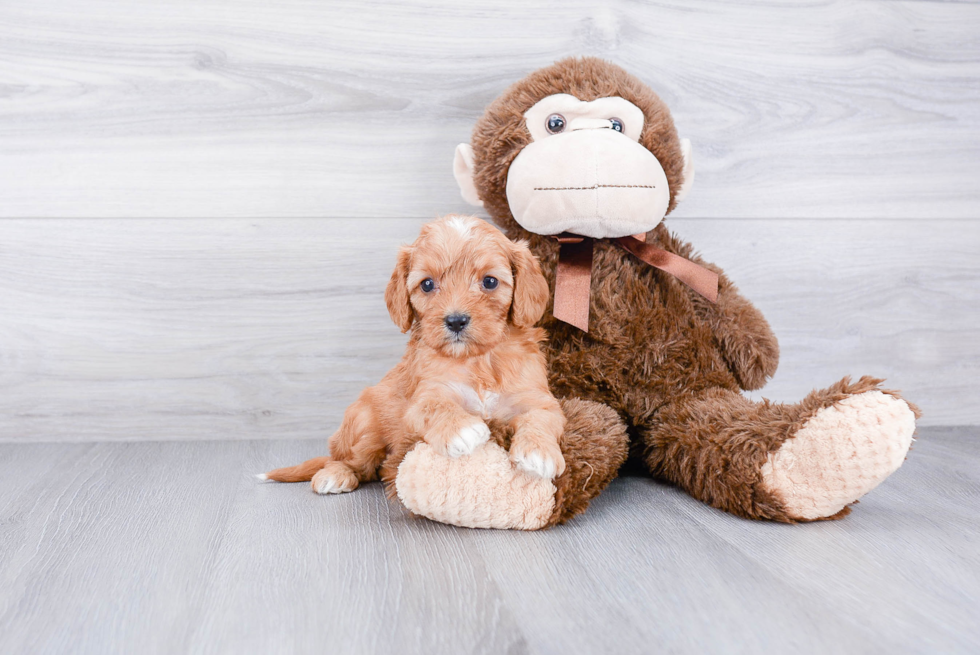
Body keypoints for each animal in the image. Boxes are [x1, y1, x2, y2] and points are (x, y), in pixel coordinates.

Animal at [260, 214, 568, 492]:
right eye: (427, 284)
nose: (456, 321)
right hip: (363, 423)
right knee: (349, 460)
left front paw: (539, 453)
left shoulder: (537, 398)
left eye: (490, 282)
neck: (478, 360)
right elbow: (436, 405)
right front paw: (462, 430)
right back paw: (334, 475)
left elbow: (542, 418)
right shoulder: (422, 398)